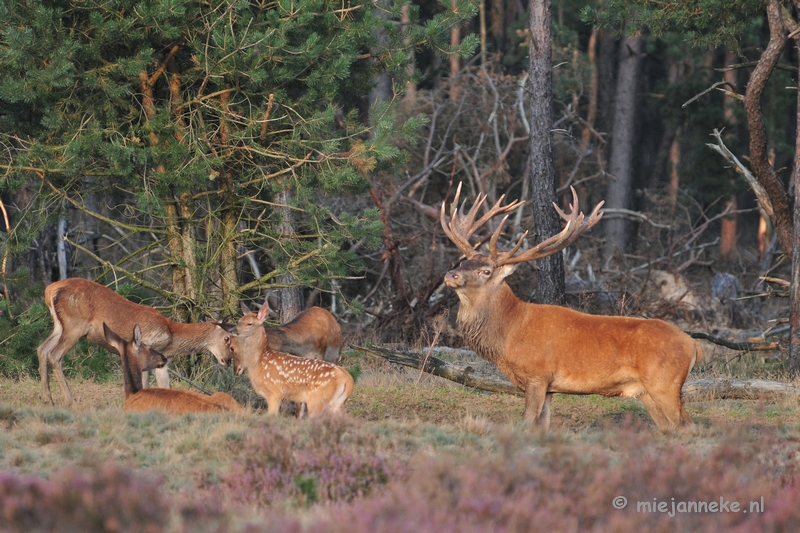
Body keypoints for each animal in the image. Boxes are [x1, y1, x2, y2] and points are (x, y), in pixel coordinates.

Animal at [223, 304, 352, 416]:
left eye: (249, 323)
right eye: (239, 320)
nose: (232, 330)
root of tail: (348, 380)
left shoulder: (275, 393)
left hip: (320, 395)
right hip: (336, 403)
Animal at [440, 185, 704, 430]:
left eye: (485, 271)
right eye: (464, 262)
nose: (450, 274)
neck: (509, 334)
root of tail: (693, 345)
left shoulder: (537, 375)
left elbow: (527, 422)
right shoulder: (549, 388)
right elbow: (541, 426)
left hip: (665, 383)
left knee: (687, 426)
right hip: (647, 392)